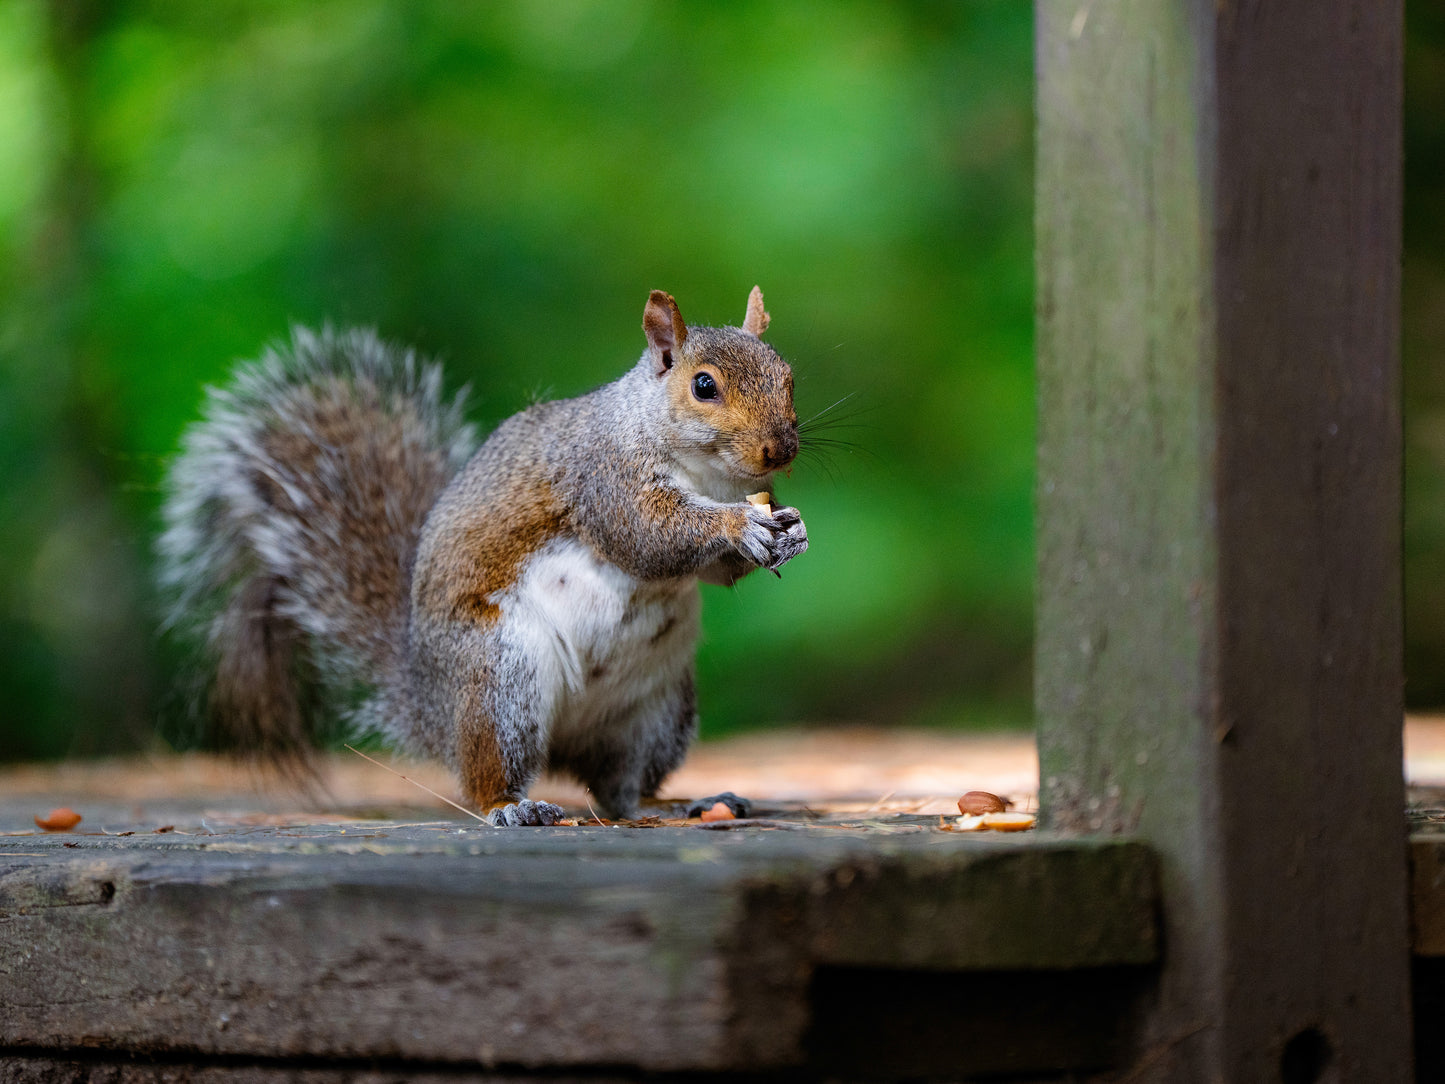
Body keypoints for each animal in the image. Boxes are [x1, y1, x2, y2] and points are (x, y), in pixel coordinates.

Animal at [158, 287, 807, 826]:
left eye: (789, 377)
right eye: (704, 386)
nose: (780, 450)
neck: (707, 474)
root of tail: (429, 706)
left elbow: (714, 570)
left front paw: (790, 530)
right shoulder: (602, 477)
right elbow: (647, 536)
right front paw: (739, 525)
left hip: (659, 711)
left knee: (619, 787)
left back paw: (675, 805)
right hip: (500, 676)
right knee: (491, 772)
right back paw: (512, 806)